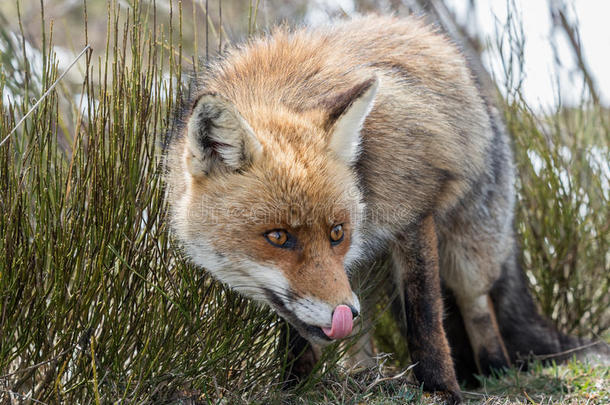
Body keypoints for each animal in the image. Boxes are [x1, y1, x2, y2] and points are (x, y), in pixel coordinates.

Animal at [163, 15, 604, 400]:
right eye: (278, 237)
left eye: (336, 232)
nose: (343, 311)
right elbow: (298, 333)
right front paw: (292, 387)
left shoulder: (413, 212)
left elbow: (424, 317)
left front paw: (441, 390)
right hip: (363, 271)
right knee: (367, 328)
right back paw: (363, 374)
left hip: (467, 252)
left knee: (478, 308)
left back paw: (493, 371)